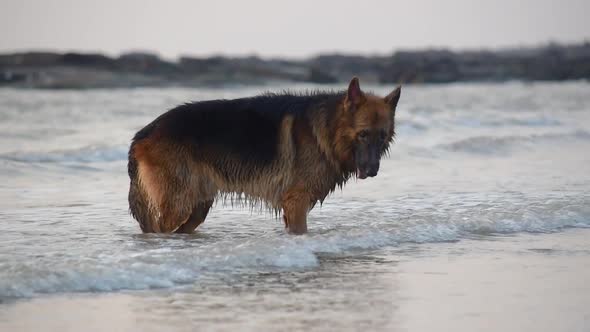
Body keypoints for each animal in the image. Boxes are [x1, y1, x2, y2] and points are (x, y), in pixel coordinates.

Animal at [127, 77, 400, 233]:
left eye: (382, 136)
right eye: (363, 134)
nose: (372, 170)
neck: (328, 129)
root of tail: (144, 132)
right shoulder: (296, 203)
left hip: (197, 207)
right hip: (179, 205)